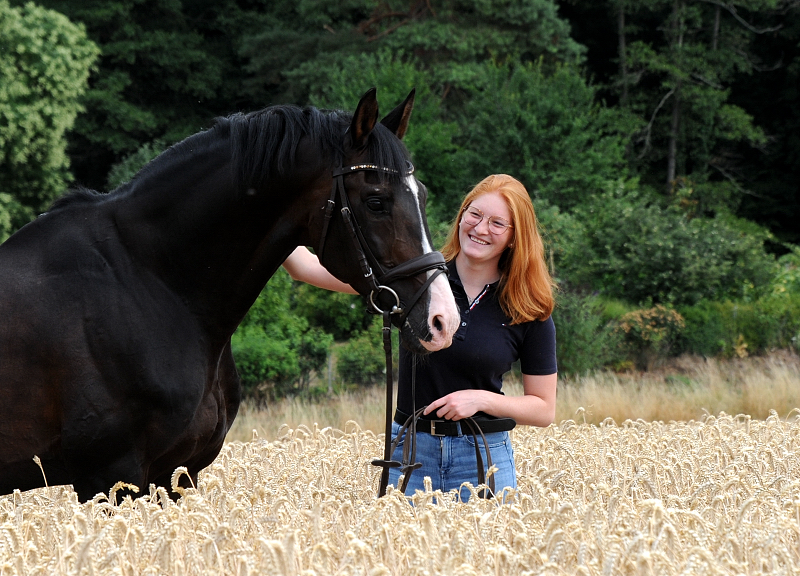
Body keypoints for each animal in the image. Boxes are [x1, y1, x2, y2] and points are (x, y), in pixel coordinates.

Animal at [0, 89, 456, 500]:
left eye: (422, 195)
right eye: (376, 201)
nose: (443, 321)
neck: (146, 280)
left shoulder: (177, 475)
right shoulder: (110, 478)